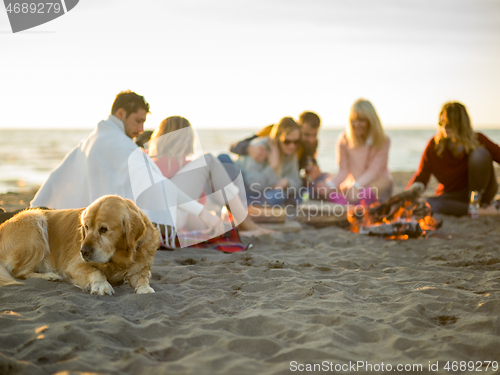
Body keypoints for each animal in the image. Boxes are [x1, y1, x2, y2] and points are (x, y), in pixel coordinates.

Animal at [0, 195, 159, 296]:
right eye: (86, 227)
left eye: (104, 229)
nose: (83, 251)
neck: (118, 260)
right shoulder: (74, 266)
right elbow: (96, 271)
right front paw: (101, 285)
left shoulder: (141, 268)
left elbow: (143, 277)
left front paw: (145, 288)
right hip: (35, 220)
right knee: (19, 272)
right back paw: (50, 275)